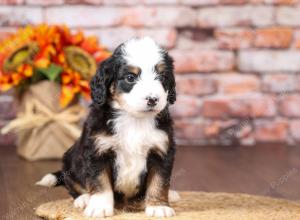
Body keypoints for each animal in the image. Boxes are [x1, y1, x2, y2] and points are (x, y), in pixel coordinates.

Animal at [37, 37, 178, 217]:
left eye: (162, 76)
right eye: (130, 77)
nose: (153, 99)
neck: (133, 119)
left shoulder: (161, 150)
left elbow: (159, 181)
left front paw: (158, 206)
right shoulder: (98, 151)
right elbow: (100, 182)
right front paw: (99, 207)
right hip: (70, 160)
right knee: (73, 184)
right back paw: (83, 199)